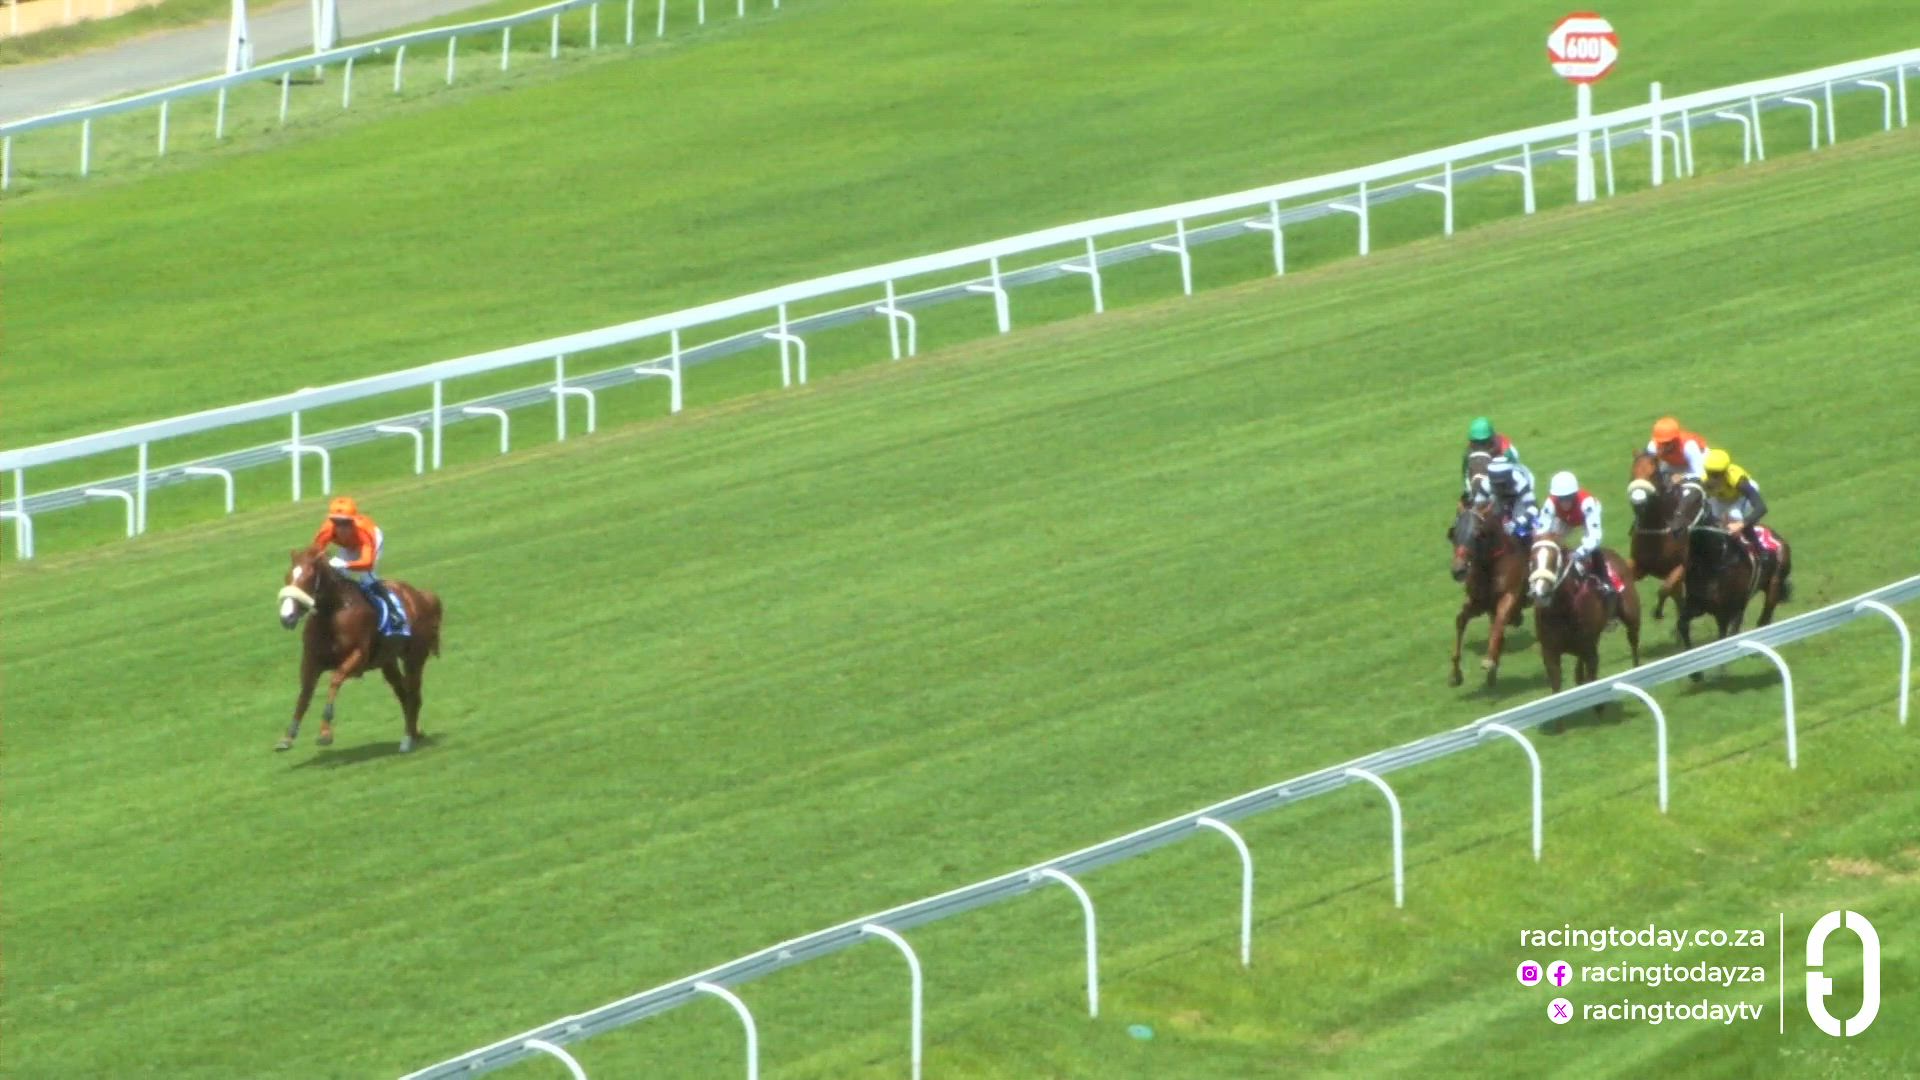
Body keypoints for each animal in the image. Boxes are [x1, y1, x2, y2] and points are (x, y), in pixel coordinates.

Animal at [275, 547, 444, 752]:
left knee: (413, 695)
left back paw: (407, 739)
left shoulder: (358, 657)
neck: (332, 615)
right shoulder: (311, 661)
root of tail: (421, 596)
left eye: (308, 578)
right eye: (287, 577)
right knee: (404, 695)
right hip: (388, 662)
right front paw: (288, 736)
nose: (287, 617)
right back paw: (414, 732)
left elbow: (335, 680)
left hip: (414, 658)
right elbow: (305, 694)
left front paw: (325, 733)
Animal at [1447, 495, 1530, 687]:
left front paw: (1489, 660)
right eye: (1453, 534)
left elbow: (1499, 621)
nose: (1458, 570)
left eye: (1478, 534)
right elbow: (1460, 620)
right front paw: (1455, 674)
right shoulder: (1479, 603)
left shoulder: (1509, 596)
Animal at [1527, 539, 1641, 702]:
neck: (1562, 612)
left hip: (1632, 618)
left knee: (1633, 643)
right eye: (1532, 560)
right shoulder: (1550, 653)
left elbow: (1593, 682)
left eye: (1555, 561)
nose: (1539, 593)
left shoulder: (1590, 652)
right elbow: (1556, 689)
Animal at [1625, 451, 1704, 621]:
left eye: (1652, 473)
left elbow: (1664, 589)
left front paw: (1658, 612)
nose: (1638, 501)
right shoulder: (1640, 565)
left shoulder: (1680, 568)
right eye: (1633, 472)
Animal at [1676, 524, 1794, 677]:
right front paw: (1695, 673)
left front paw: (1721, 670)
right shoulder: (1697, 605)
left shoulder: (1724, 612)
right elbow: (1682, 625)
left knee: (1764, 616)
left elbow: (1723, 638)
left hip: (1774, 586)